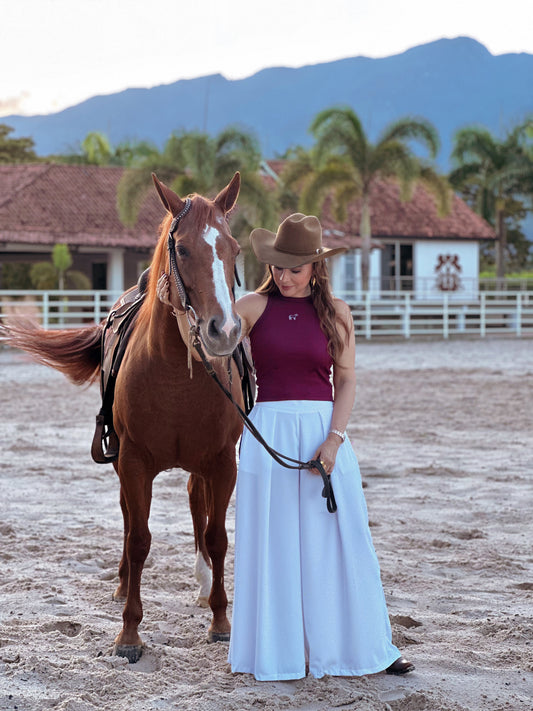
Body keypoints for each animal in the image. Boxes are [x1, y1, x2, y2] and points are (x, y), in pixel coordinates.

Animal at [2, 173, 244, 663]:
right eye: (182, 249)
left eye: (233, 248)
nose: (223, 331)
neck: (177, 374)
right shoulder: (132, 462)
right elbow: (138, 539)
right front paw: (129, 632)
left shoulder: (222, 462)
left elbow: (217, 536)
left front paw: (220, 621)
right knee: (130, 518)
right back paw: (121, 585)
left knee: (196, 505)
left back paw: (202, 585)